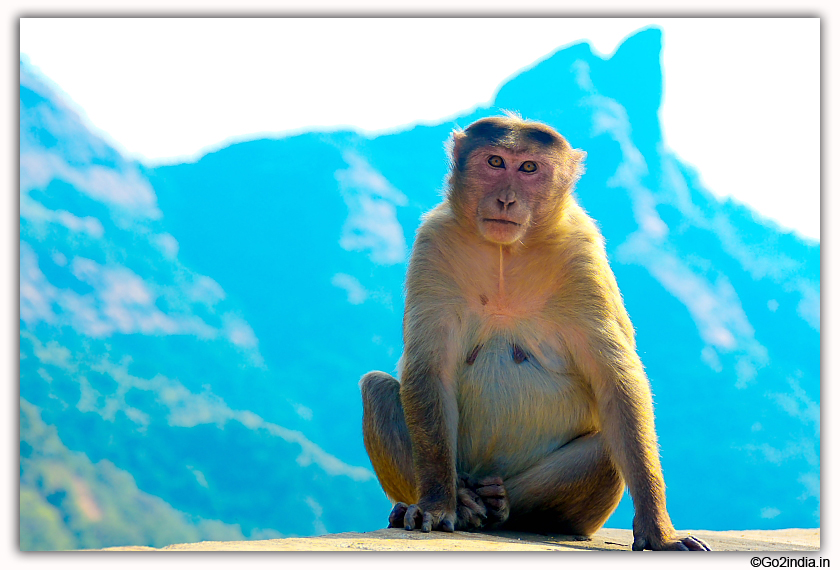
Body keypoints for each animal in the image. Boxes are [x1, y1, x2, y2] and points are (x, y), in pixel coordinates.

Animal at [360, 113, 708, 548]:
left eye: (528, 168)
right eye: (495, 162)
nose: (506, 199)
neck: (505, 253)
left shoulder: (583, 255)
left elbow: (617, 384)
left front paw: (658, 531)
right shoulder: (433, 243)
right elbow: (429, 370)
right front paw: (439, 504)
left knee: (606, 448)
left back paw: (503, 506)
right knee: (376, 389)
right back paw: (459, 501)